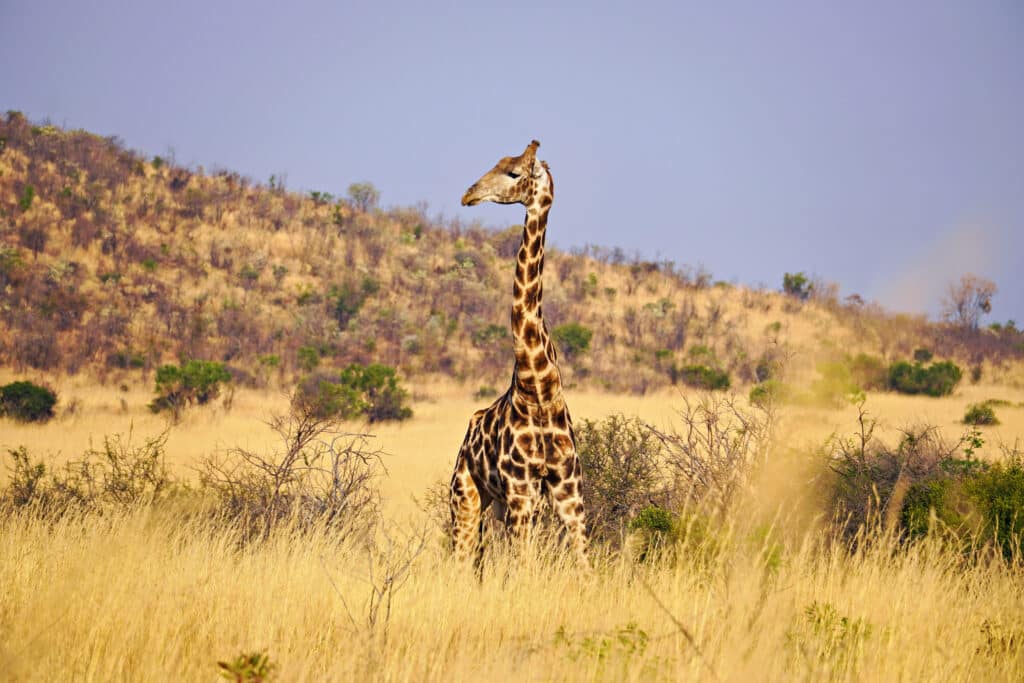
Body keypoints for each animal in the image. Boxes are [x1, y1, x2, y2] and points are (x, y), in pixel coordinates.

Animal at [449, 139, 590, 574]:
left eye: (513, 172)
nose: (468, 194)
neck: (538, 387)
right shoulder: (519, 488)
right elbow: (522, 567)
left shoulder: (568, 487)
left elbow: (585, 565)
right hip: (466, 496)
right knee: (460, 559)